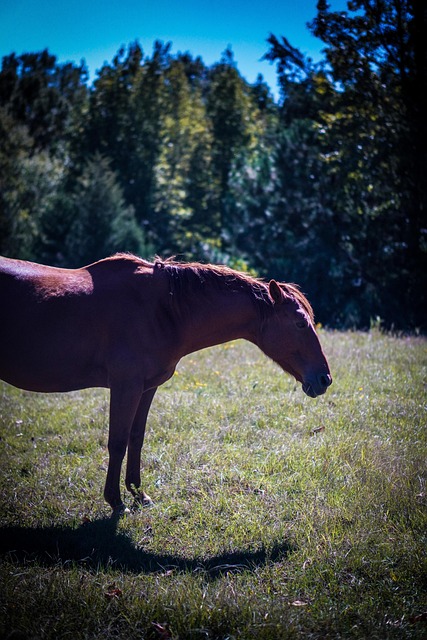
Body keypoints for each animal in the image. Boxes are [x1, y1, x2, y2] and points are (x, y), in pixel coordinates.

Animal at [0, 253, 332, 512]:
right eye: (300, 323)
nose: (324, 379)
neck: (161, 310)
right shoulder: (126, 387)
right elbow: (117, 442)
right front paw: (115, 501)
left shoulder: (146, 388)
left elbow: (136, 438)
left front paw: (139, 494)